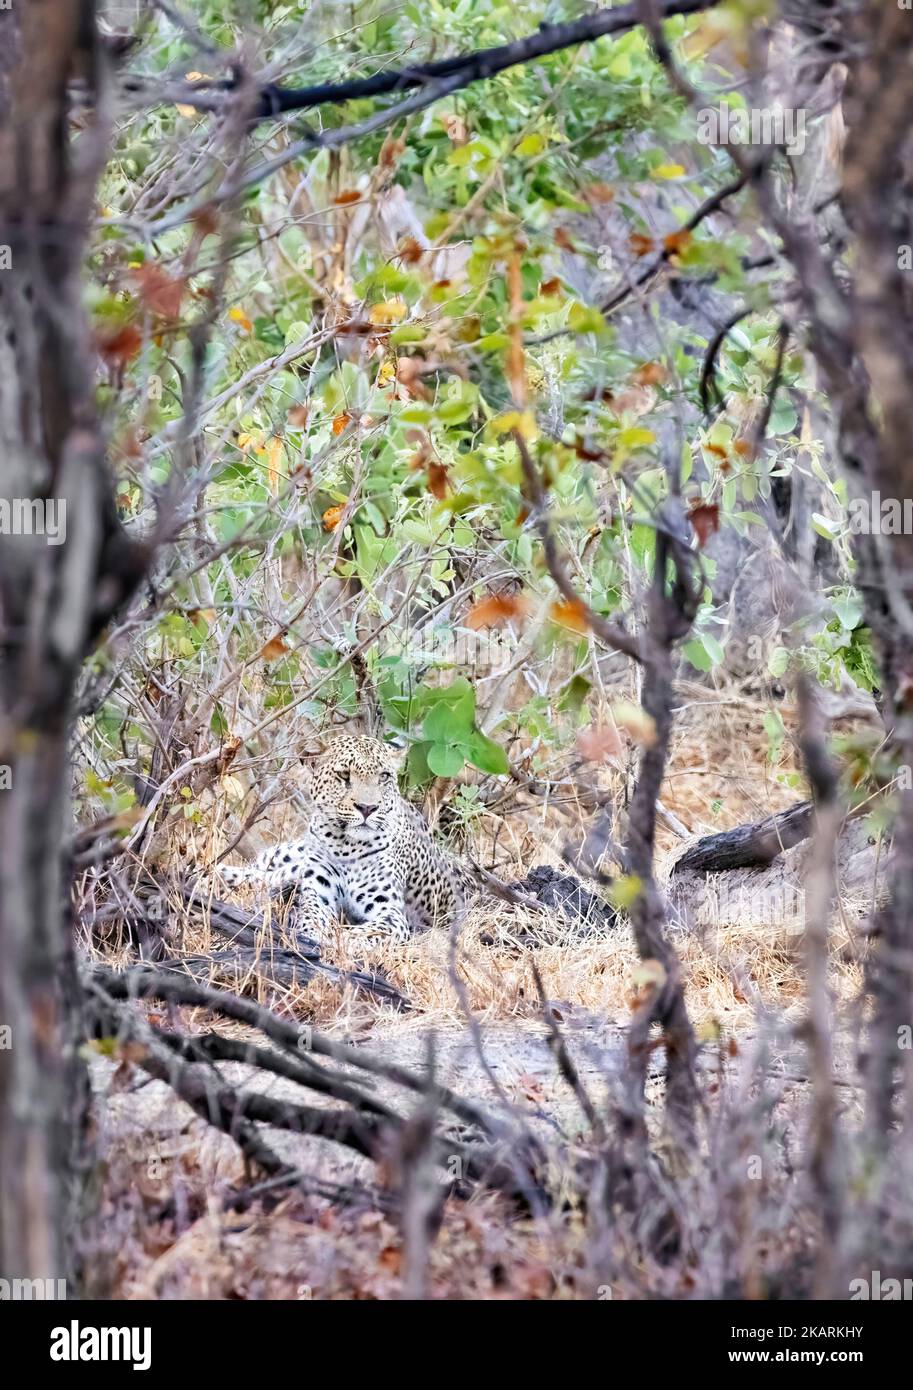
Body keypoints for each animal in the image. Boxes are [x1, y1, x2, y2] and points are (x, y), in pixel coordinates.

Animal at [212, 735, 467, 946]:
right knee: (257, 872)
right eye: (344, 775)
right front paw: (312, 933)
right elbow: (311, 915)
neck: (346, 847)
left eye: (383, 777)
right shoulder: (318, 889)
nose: (367, 808)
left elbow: (365, 932)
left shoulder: (391, 913)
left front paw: (337, 941)